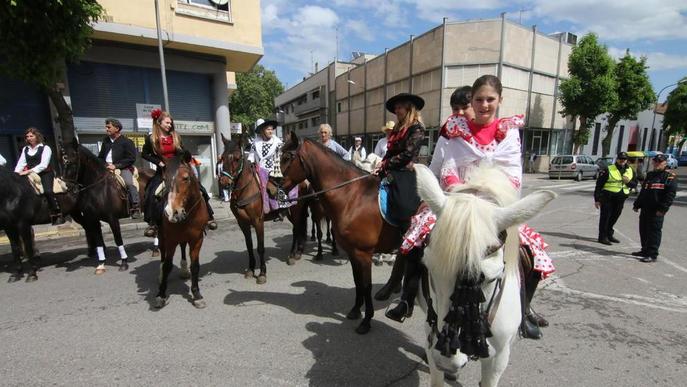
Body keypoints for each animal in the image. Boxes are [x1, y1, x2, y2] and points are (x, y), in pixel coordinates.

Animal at [155, 152, 208, 310]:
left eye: (186, 178)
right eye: (165, 179)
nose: (172, 212)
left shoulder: (197, 239)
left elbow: (195, 266)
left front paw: (197, 295)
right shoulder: (171, 240)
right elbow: (167, 266)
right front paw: (161, 295)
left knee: (183, 246)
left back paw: (184, 270)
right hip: (162, 237)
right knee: (162, 256)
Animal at [278, 133, 400, 334]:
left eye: (287, 157)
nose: (272, 188)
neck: (353, 197)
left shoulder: (364, 254)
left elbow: (366, 286)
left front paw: (366, 321)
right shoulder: (353, 253)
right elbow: (357, 282)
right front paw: (355, 310)